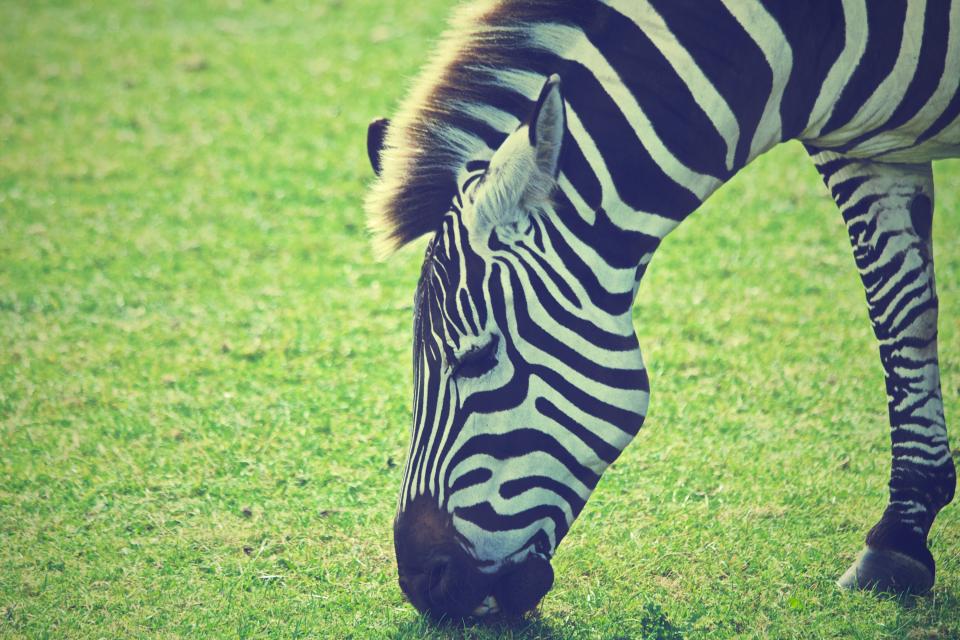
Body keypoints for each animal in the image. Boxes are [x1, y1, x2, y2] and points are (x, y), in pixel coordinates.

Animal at [364, 0, 959, 619]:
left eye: (476, 359)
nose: (420, 584)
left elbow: (902, 312)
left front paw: (899, 537)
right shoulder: (859, 152)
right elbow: (901, 312)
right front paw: (901, 537)